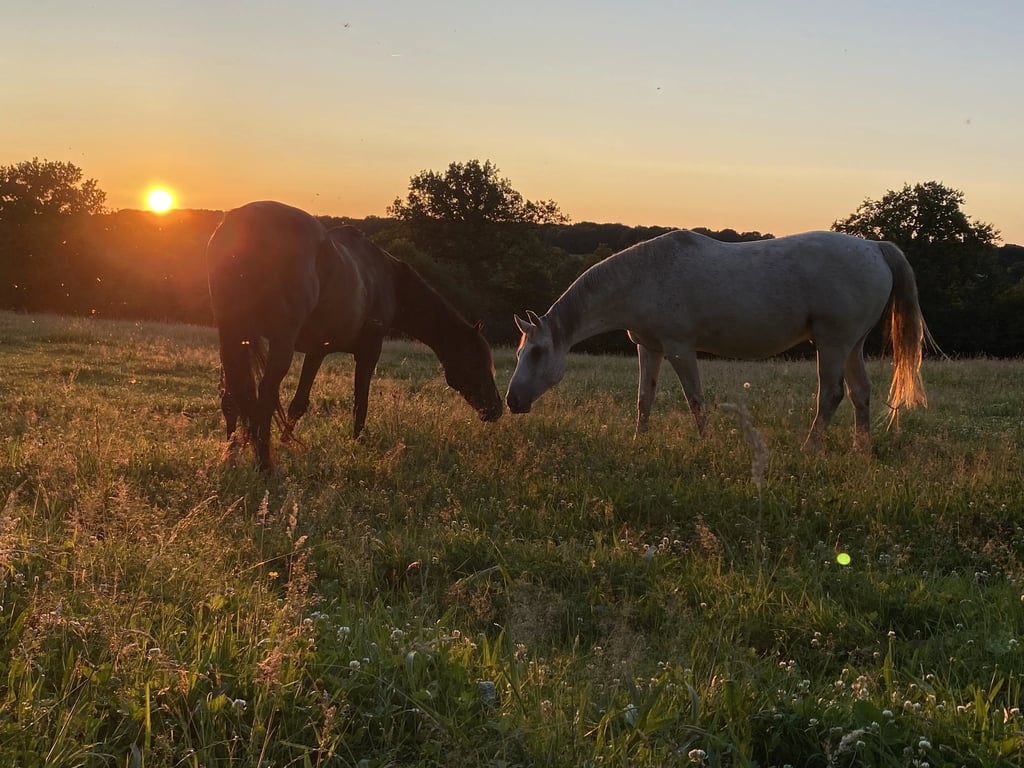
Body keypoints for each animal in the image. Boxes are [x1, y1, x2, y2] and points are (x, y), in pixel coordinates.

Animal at [207, 200, 503, 470]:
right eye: (477, 363)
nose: (497, 409)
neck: (390, 279)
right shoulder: (369, 350)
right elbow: (361, 401)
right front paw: (358, 442)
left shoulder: (317, 350)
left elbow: (298, 403)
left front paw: (286, 442)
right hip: (280, 342)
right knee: (265, 396)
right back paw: (265, 465)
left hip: (233, 336)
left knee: (231, 396)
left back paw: (231, 454)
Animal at [506, 229, 928, 452]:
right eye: (520, 352)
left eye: (537, 352)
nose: (512, 401)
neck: (643, 277)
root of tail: (874, 248)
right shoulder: (649, 347)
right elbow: (645, 398)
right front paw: (640, 440)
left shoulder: (679, 347)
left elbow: (695, 398)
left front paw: (705, 442)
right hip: (852, 345)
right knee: (860, 394)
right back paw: (862, 452)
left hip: (833, 343)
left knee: (832, 394)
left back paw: (809, 449)